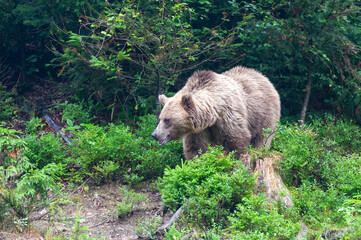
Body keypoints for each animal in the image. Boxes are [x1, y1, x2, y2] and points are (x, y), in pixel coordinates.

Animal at [150, 66, 280, 159]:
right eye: (160, 118)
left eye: (167, 120)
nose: (154, 135)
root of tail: (262, 76)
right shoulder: (198, 129)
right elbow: (196, 147)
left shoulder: (229, 115)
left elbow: (236, 139)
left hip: (264, 113)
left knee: (262, 137)